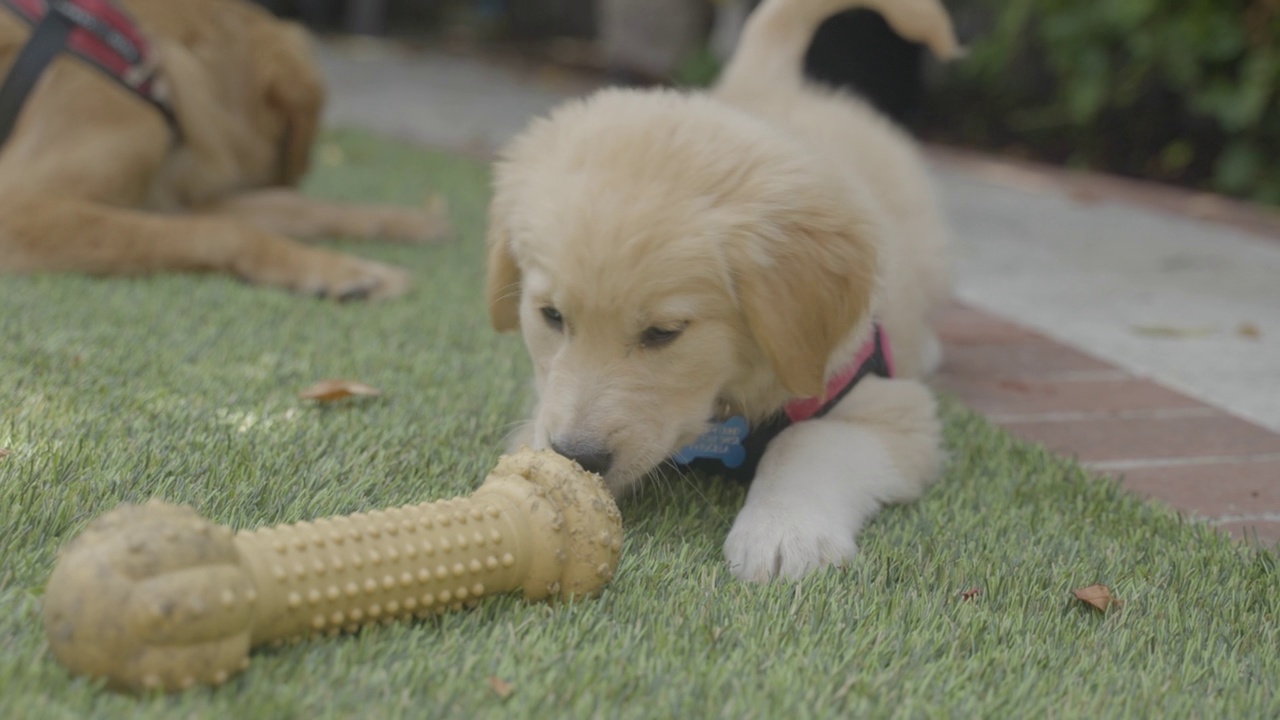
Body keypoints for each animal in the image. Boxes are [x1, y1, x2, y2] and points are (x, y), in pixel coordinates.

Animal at [0, 0, 450, 297]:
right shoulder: (18, 211)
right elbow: (223, 230)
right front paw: (340, 267)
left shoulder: (164, 198)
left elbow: (298, 206)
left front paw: (405, 221)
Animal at [486, 0, 962, 576]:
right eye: (551, 316)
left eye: (665, 333)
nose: (580, 456)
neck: (729, 404)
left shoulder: (893, 409)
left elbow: (807, 438)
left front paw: (784, 530)